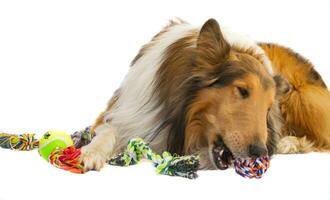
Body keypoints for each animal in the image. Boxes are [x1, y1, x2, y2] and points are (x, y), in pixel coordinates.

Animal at [79, 18, 330, 171]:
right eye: (242, 90)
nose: (261, 152)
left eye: (269, 108)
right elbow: (107, 131)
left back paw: (290, 143)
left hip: (300, 96)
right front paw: (90, 153)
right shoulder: (123, 110)